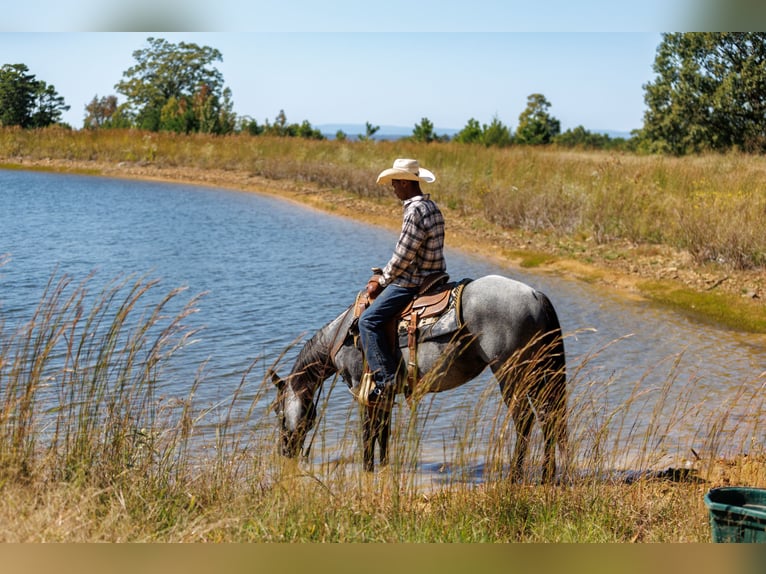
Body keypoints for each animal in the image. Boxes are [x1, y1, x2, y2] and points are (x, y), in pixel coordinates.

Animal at [271, 274, 568, 483]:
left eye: (277, 411)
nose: (284, 452)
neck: (343, 334)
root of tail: (534, 294)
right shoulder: (383, 394)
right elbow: (383, 433)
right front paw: (384, 468)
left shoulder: (362, 390)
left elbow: (368, 434)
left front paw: (367, 470)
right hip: (539, 371)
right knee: (548, 416)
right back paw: (546, 476)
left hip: (511, 371)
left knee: (524, 419)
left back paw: (516, 476)